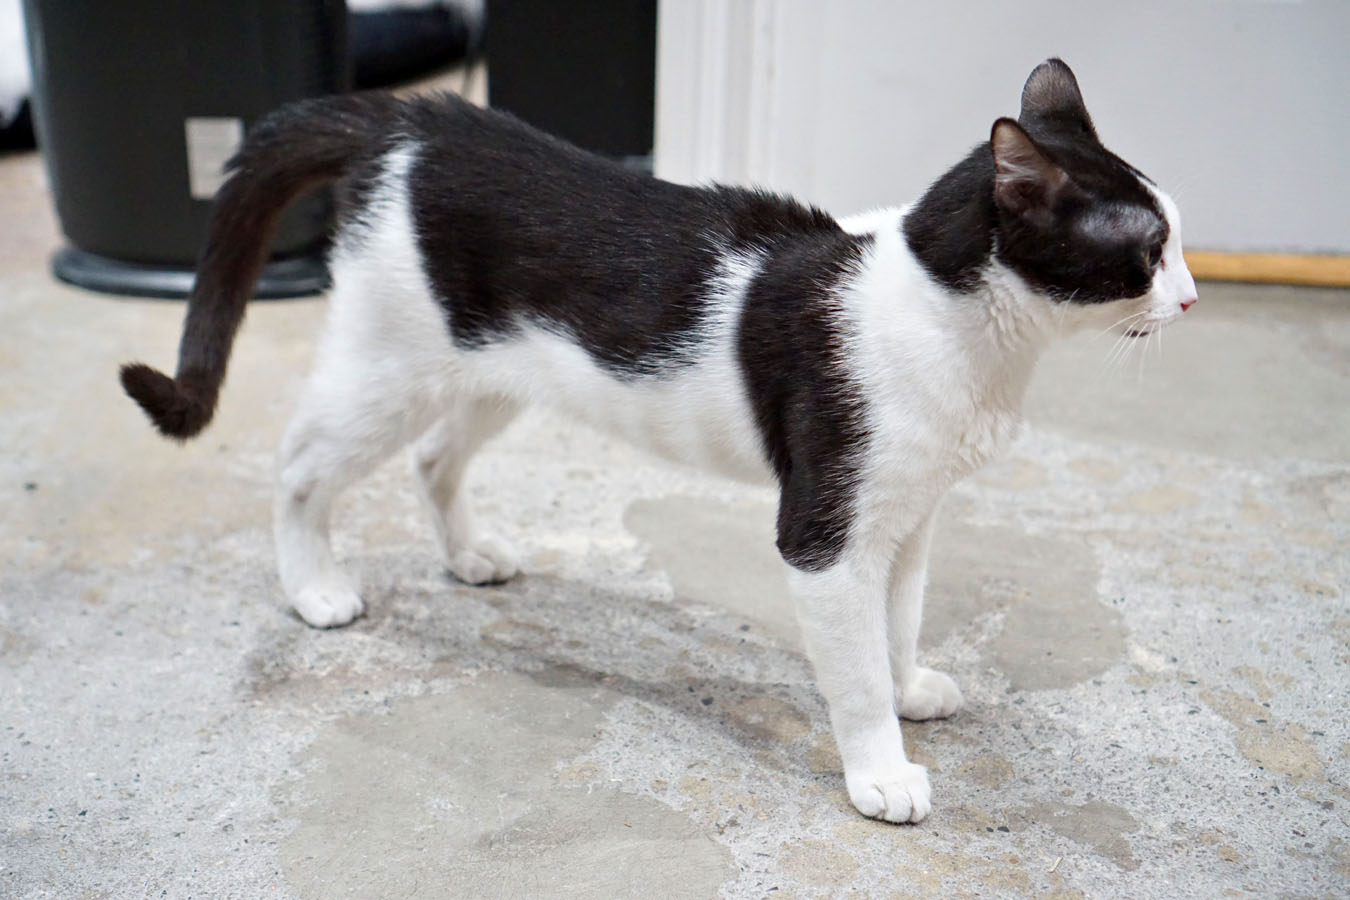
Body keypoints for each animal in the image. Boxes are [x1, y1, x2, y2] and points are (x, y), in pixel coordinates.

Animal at [124, 59, 1193, 825]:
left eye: (1179, 239)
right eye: (1146, 252)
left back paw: (468, 557)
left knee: (434, 459)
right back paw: (312, 587)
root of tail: (418, 118)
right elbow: (851, 670)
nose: (1190, 297)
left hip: (496, 373)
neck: (948, 322)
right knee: (299, 467)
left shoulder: (912, 517)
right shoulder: (826, 534)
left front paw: (907, 687)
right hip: (387, 373)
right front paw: (881, 771)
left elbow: (899, 622)